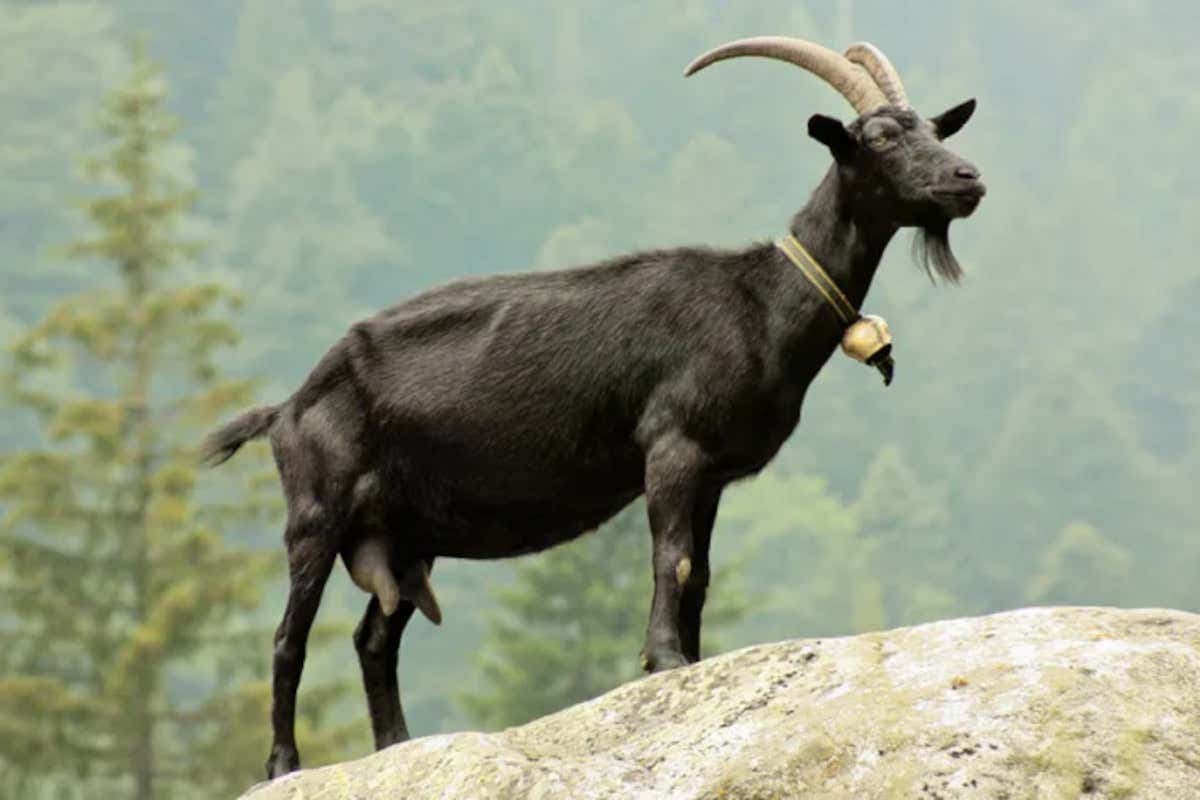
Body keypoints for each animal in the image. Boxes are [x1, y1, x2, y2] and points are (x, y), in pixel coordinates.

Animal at [202, 37, 985, 779]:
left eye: (935, 128)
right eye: (879, 137)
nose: (967, 179)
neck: (759, 304)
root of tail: (287, 407)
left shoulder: (712, 475)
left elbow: (700, 576)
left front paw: (696, 664)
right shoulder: (671, 447)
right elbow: (671, 558)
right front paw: (663, 662)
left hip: (406, 531)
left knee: (375, 635)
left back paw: (398, 746)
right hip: (317, 512)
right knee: (289, 638)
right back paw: (285, 764)